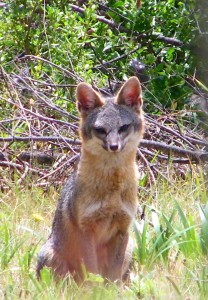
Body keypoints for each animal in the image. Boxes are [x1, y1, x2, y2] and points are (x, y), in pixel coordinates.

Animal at [36, 76, 144, 282]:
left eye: (123, 127)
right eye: (100, 129)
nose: (114, 146)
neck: (112, 189)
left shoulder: (122, 228)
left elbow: (113, 275)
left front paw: (111, 288)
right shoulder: (86, 230)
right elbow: (91, 271)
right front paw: (94, 288)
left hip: (130, 247)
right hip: (51, 257)